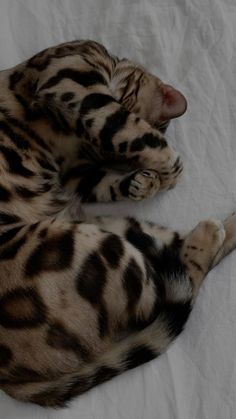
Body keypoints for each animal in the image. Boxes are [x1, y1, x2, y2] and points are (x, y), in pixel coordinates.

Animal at [0, 40, 235, 406]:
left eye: (112, 157)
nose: (89, 142)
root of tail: (10, 379)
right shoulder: (72, 85)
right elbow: (141, 136)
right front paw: (167, 174)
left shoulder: (78, 170)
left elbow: (111, 172)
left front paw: (144, 183)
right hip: (98, 248)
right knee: (168, 293)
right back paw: (209, 234)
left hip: (105, 232)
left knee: (176, 269)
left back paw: (219, 230)